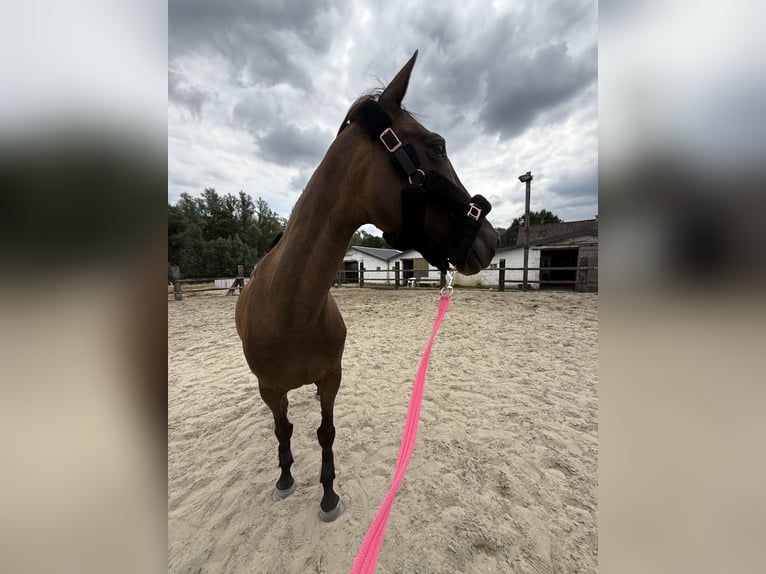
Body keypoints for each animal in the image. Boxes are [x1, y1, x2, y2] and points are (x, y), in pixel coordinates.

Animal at [235, 51, 499, 522]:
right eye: (437, 145)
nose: (491, 239)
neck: (291, 309)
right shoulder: (269, 387)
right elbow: (283, 428)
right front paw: (285, 478)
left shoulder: (330, 379)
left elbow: (325, 432)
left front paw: (328, 493)